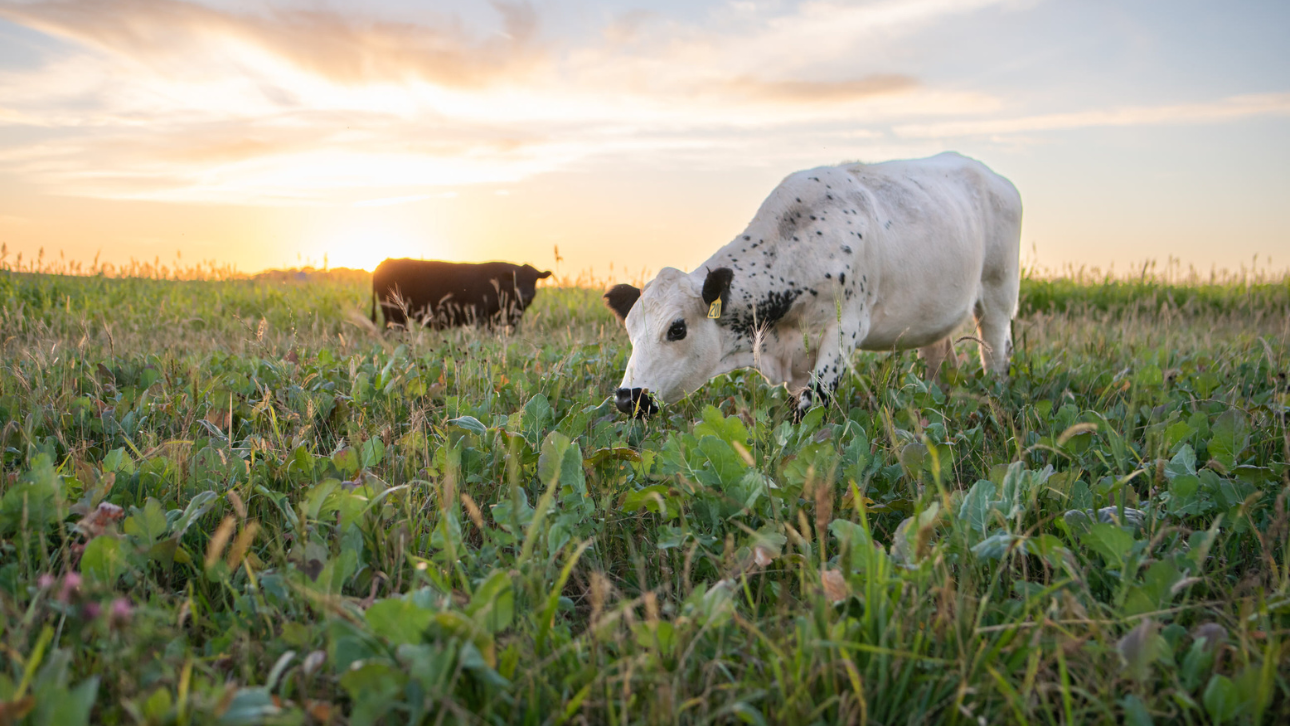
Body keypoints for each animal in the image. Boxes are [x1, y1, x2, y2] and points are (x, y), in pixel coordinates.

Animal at [601, 150, 1016, 417]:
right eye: (630, 329)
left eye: (677, 329)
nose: (627, 397)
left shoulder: (846, 329)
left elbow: (809, 407)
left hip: (999, 292)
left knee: (996, 350)